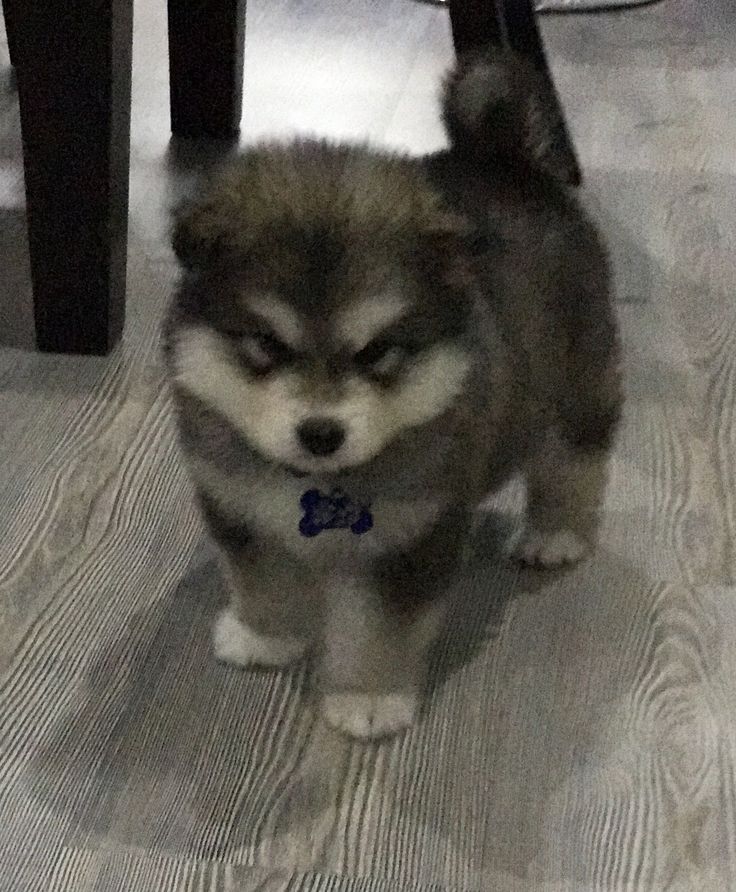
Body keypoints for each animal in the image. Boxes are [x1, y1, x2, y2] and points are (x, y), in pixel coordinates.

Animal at [162, 52, 620, 744]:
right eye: (266, 343)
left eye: (377, 351)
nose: (321, 433)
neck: (315, 483)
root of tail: (505, 160)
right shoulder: (235, 504)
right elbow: (261, 580)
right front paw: (264, 637)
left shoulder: (411, 538)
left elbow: (380, 631)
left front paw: (369, 699)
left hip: (578, 385)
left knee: (574, 462)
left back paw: (554, 534)